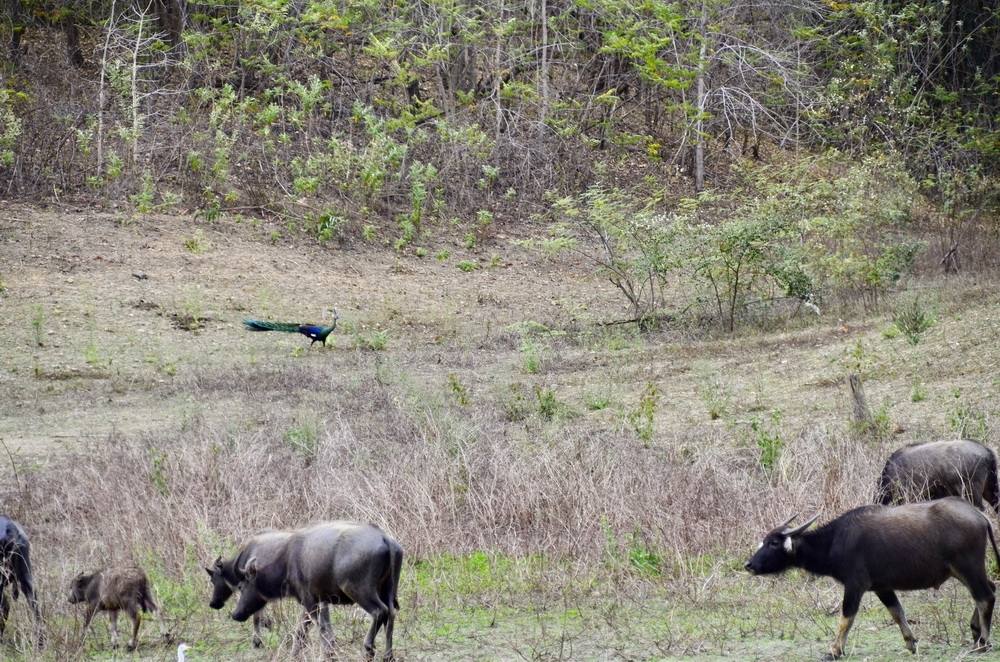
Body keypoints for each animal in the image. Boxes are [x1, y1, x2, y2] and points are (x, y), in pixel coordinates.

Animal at [207, 524, 402, 660]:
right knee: (391, 615)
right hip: (388, 591)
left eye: (241, 586)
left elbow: (323, 632)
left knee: (380, 611)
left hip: (360, 591)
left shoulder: (310, 602)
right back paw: (388, 655)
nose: (235, 614)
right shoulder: (316, 602)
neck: (287, 560)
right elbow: (301, 632)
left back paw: (368, 649)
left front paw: (329, 654)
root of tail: (386, 539)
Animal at [748, 500, 1000, 660]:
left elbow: (846, 618)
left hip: (968, 568)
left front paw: (834, 651)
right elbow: (897, 612)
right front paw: (911, 643)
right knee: (989, 590)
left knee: (985, 596)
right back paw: (975, 631)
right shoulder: (882, 588)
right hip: (964, 572)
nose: (749, 565)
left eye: (773, 543)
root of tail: (979, 516)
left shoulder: (855, 586)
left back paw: (983, 642)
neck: (835, 540)